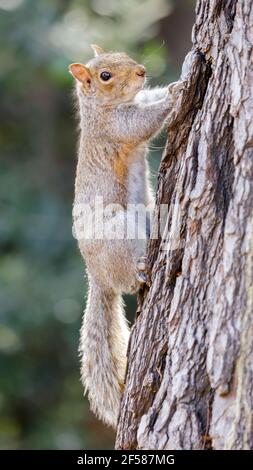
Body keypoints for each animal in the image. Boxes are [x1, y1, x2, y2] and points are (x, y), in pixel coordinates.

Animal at [69, 45, 186, 430]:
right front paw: (177, 95)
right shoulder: (113, 129)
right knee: (128, 279)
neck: (99, 108)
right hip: (121, 231)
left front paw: (180, 77)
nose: (141, 71)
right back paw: (140, 271)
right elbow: (139, 124)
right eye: (105, 76)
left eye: (123, 54)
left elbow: (148, 99)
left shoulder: (135, 101)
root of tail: (97, 275)